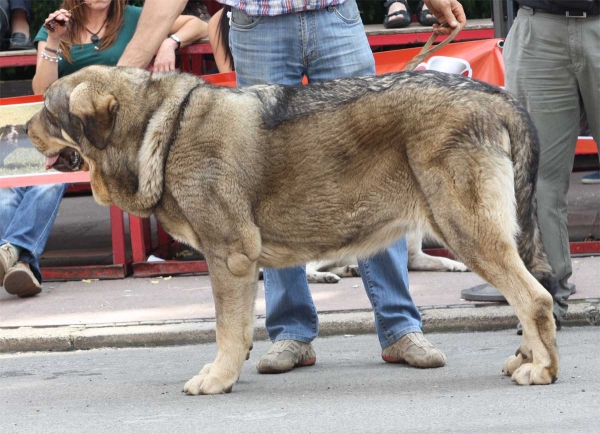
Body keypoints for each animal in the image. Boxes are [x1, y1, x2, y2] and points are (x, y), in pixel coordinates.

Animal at [25, 64, 560, 394]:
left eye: (49, 112)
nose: (21, 128)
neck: (159, 127)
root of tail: (496, 97)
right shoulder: (239, 265)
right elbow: (240, 329)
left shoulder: (228, 258)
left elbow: (226, 330)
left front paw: (217, 379)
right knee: (529, 296)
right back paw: (526, 358)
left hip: (468, 232)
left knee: (534, 298)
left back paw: (542, 369)